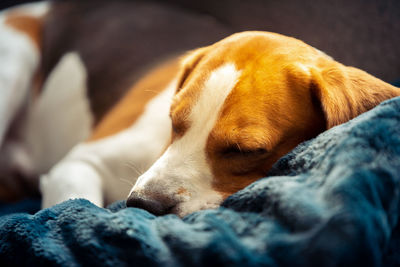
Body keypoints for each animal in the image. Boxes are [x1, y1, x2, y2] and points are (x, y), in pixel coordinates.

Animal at [0, 1, 400, 218]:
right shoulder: (77, 164)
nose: (142, 203)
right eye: (173, 120)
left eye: (246, 151)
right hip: (15, 58)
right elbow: (74, 201)